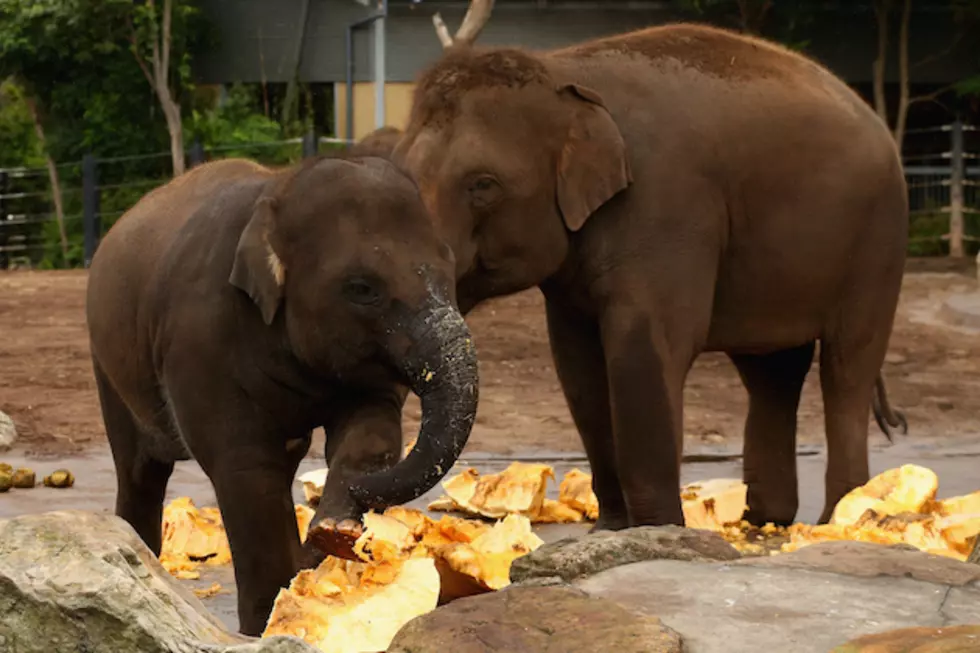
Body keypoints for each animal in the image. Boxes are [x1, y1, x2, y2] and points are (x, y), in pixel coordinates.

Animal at [88, 155, 478, 636]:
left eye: (450, 268)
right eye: (362, 288)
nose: (332, 527)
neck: (276, 193)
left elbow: (373, 425)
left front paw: (335, 530)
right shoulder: (199, 341)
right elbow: (248, 470)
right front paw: (267, 627)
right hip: (108, 366)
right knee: (140, 471)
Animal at [392, 25, 912, 532]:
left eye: (483, 185)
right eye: (402, 172)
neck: (561, 71)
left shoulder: (668, 208)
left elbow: (645, 348)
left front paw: (656, 531)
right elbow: (577, 365)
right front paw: (611, 531)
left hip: (878, 241)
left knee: (847, 367)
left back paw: (837, 521)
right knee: (773, 373)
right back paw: (766, 520)